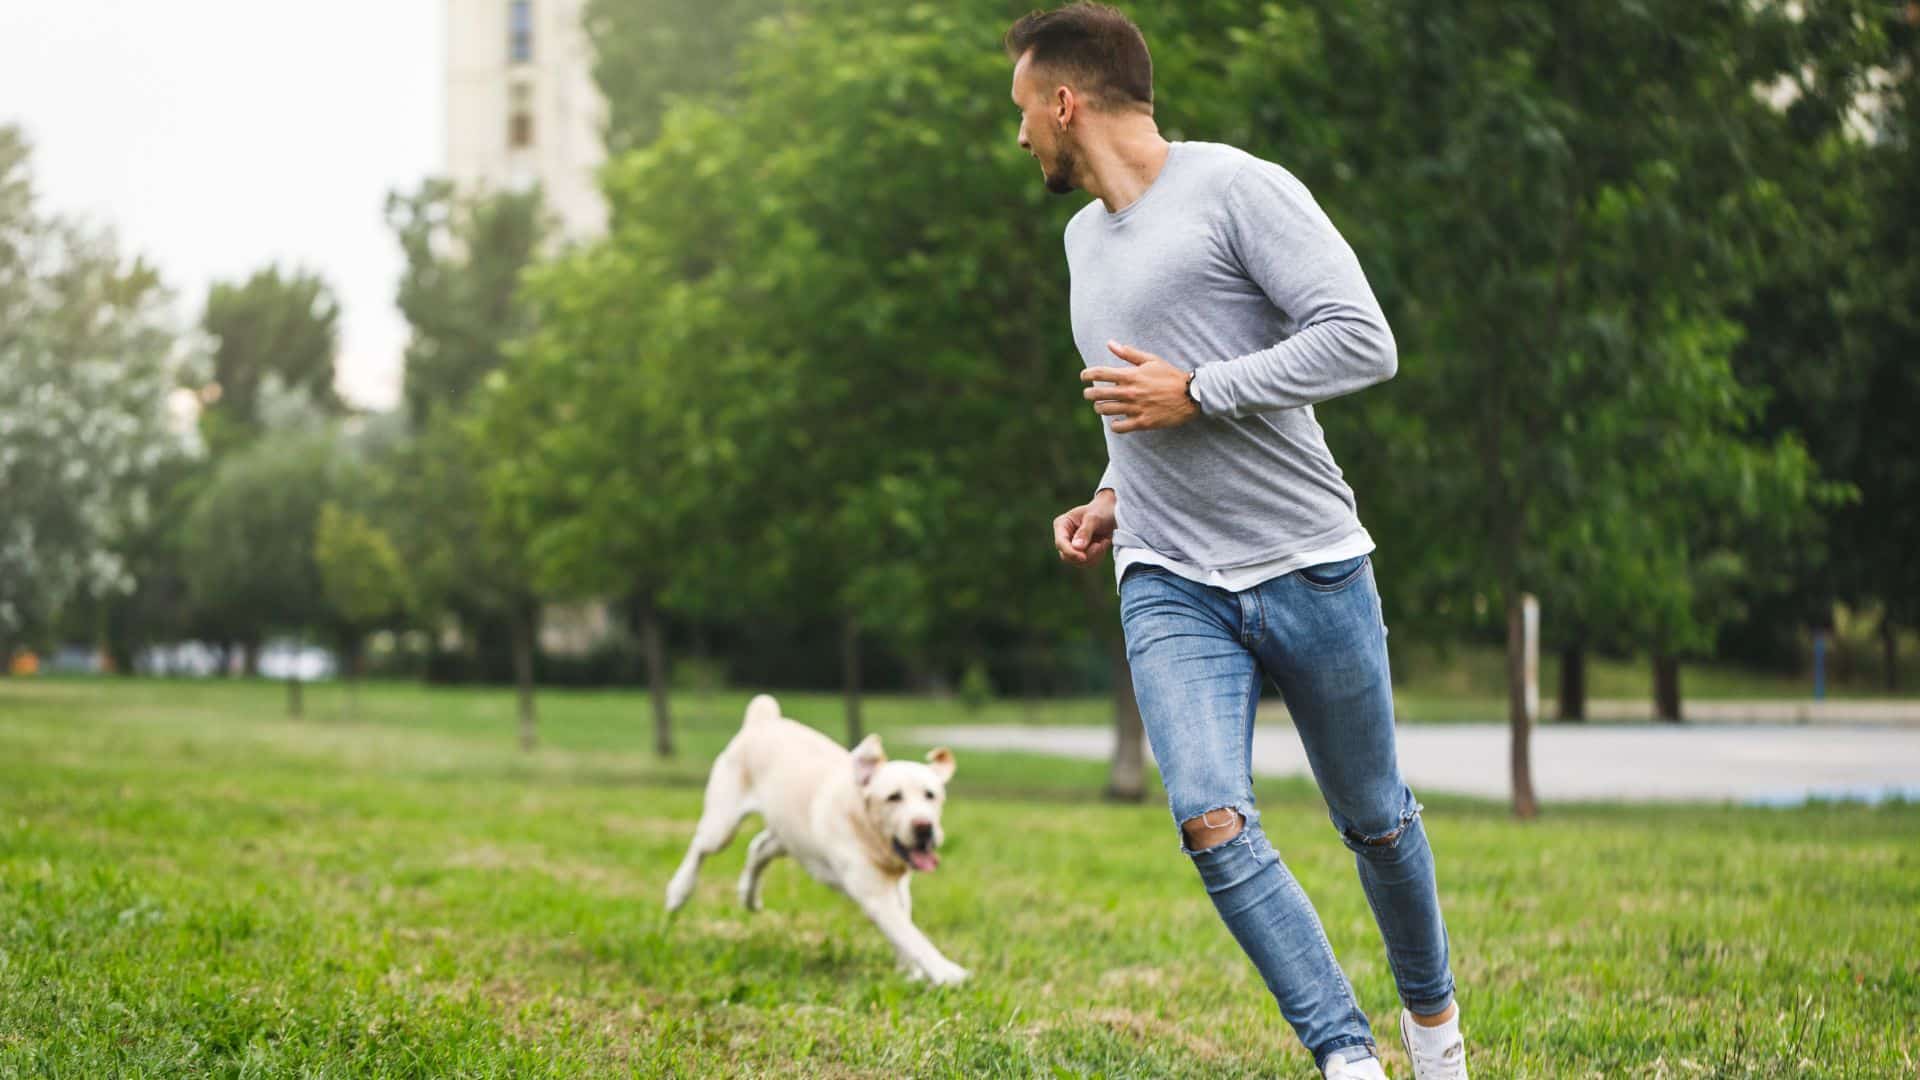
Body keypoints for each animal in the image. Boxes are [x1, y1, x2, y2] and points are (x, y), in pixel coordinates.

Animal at [668, 687, 967, 983]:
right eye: (894, 797)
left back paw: (748, 896)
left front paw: (911, 972)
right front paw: (946, 972)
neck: (867, 830)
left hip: (790, 834)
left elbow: (904, 929)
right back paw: (678, 892)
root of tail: (762, 720)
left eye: (931, 795)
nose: (924, 826)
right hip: (723, 824)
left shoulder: (898, 887)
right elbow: (910, 935)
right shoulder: (873, 894)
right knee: (700, 847)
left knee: (758, 847)